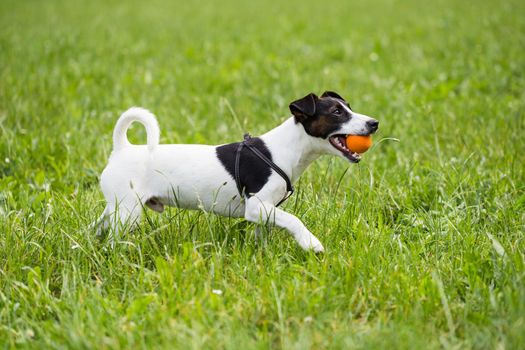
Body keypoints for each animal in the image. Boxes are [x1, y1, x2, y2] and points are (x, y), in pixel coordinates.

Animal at [95, 91, 376, 252]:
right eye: (337, 112)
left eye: (348, 107)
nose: (374, 123)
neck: (285, 148)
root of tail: (121, 148)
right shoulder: (256, 206)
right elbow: (294, 220)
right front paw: (311, 242)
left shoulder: (265, 211)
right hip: (128, 212)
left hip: (116, 208)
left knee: (98, 226)